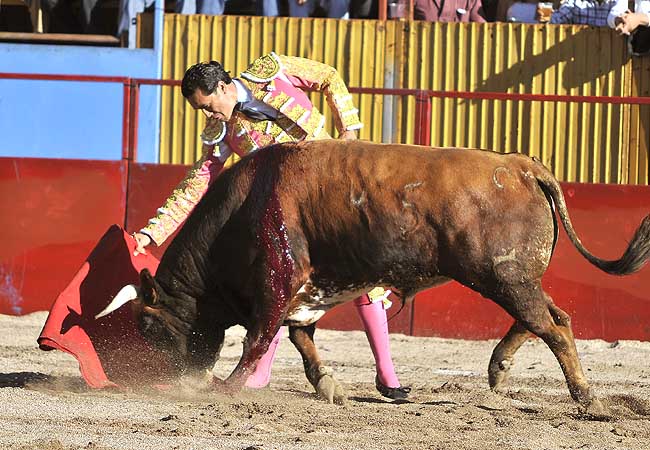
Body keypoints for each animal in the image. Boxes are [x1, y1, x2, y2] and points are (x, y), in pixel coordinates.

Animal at [96, 141, 648, 414]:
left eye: (148, 326)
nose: (176, 379)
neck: (244, 207)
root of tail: (523, 166)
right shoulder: (306, 290)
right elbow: (300, 338)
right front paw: (330, 388)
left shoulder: (278, 280)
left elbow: (259, 337)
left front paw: (227, 388)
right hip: (513, 277)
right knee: (551, 318)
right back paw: (498, 369)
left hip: (504, 275)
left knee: (550, 327)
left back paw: (588, 399)